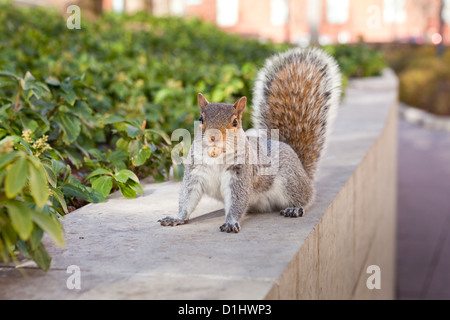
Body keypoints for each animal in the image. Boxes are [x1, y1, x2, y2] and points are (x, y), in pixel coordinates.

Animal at [158, 47, 342, 232]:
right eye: (201, 118)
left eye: (235, 122)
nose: (213, 137)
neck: (217, 155)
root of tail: (302, 168)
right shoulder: (195, 172)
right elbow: (187, 198)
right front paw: (177, 218)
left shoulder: (240, 173)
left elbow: (237, 200)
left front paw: (231, 221)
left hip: (290, 180)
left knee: (305, 197)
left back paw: (295, 208)